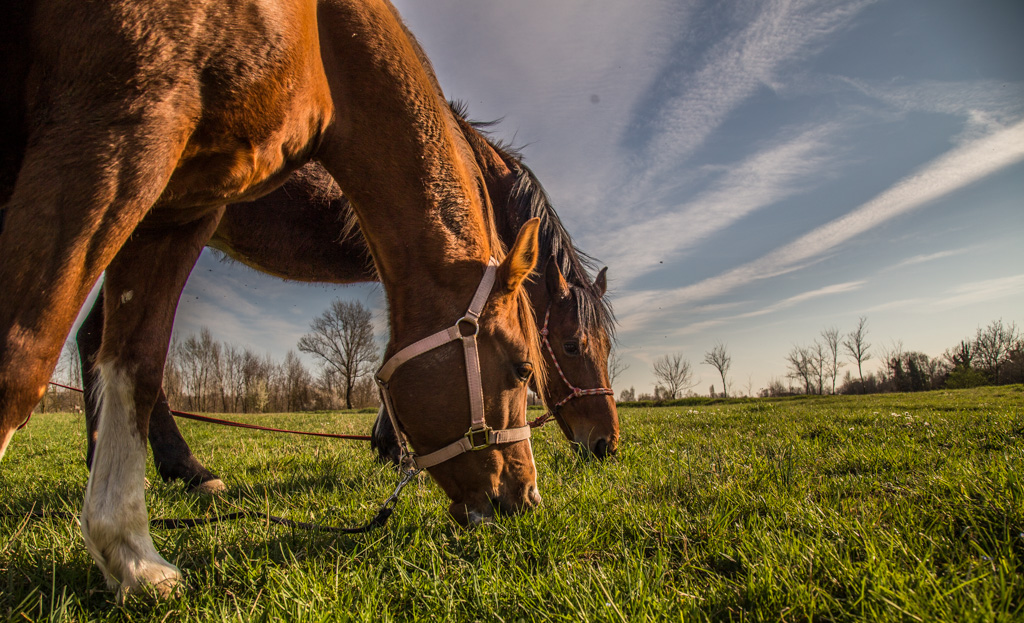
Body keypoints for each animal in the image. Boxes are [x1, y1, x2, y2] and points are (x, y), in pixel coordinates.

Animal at [1, 0, 546, 598]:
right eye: (523, 369)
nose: (527, 500)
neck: (324, 41)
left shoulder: (178, 205)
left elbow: (137, 366)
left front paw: (131, 556)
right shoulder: (118, 134)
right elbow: (19, 364)